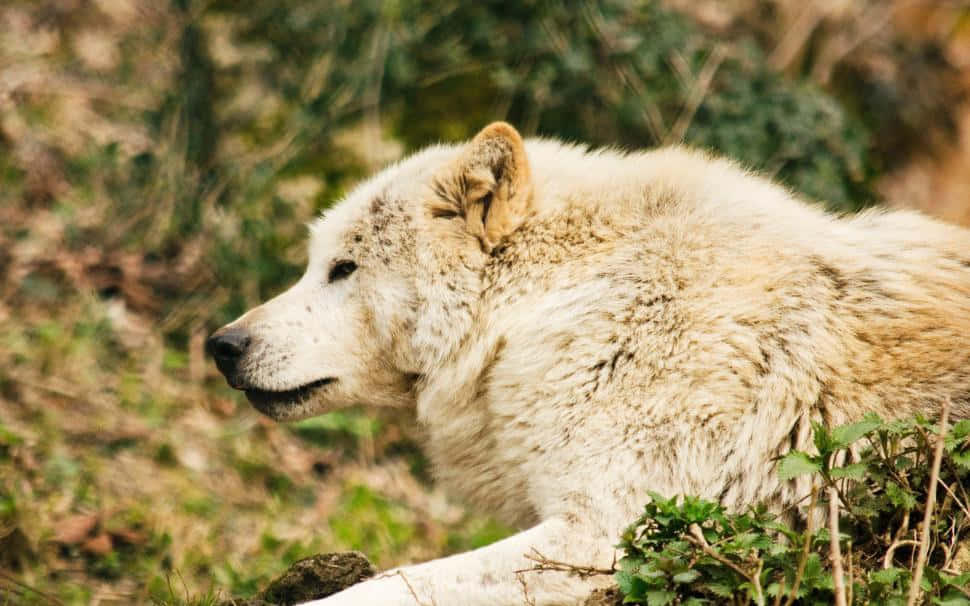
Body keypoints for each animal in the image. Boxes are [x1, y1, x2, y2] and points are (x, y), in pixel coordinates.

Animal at [207, 122, 970, 605]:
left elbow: (384, 586)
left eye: (344, 269)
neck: (561, 306)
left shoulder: (611, 536)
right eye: (317, 264)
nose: (222, 345)